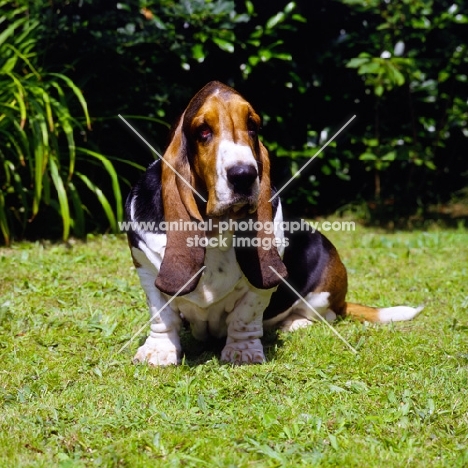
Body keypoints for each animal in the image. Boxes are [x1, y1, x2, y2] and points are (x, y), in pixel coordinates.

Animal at [124, 81, 420, 366]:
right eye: (203, 131)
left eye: (253, 126)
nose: (243, 175)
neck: (216, 228)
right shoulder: (146, 269)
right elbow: (162, 316)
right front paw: (158, 352)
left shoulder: (261, 285)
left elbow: (246, 315)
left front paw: (242, 352)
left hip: (324, 288)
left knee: (326, 314)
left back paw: (295, 323)